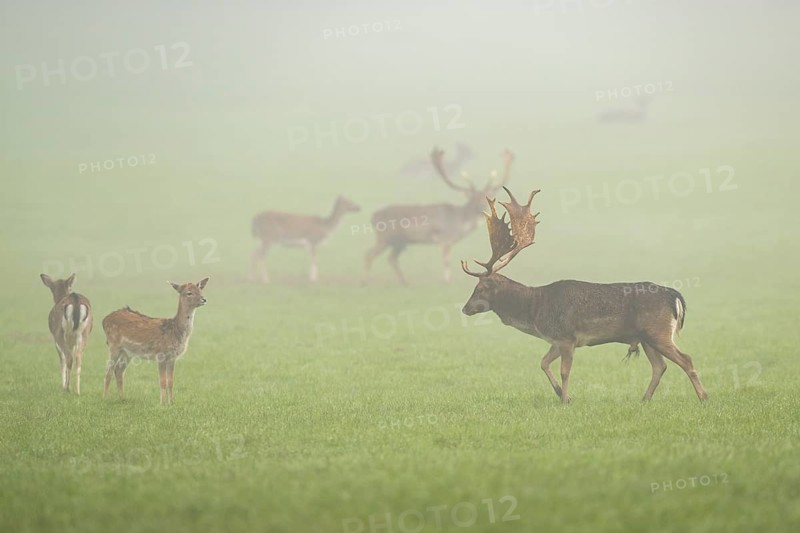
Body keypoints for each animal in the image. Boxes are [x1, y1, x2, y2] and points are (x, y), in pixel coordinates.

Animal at [364, 147, 514, 285]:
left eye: (486, 198)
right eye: (474, 198)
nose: (481, 208)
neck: (460, 224)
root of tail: (373, 217)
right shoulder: (445, 238)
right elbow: (446, 261)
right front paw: (447, 281)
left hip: (399, 242)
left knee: (391, 258)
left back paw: (404, 282)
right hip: (385, 237)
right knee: (370, 254)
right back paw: (365, 281)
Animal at [459, 187, 708, 403]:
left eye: (480, 288)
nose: (465, 308)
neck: (535, 310)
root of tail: (675, 296)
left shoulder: (567, 337)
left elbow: (565, 371)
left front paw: (565, 399)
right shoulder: (556, 340)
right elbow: (543, 363)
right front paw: (561, 394)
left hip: (658, 332)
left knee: (686, 359)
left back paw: (703, 398)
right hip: (647, 337)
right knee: (660, 366)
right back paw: (644, 399)